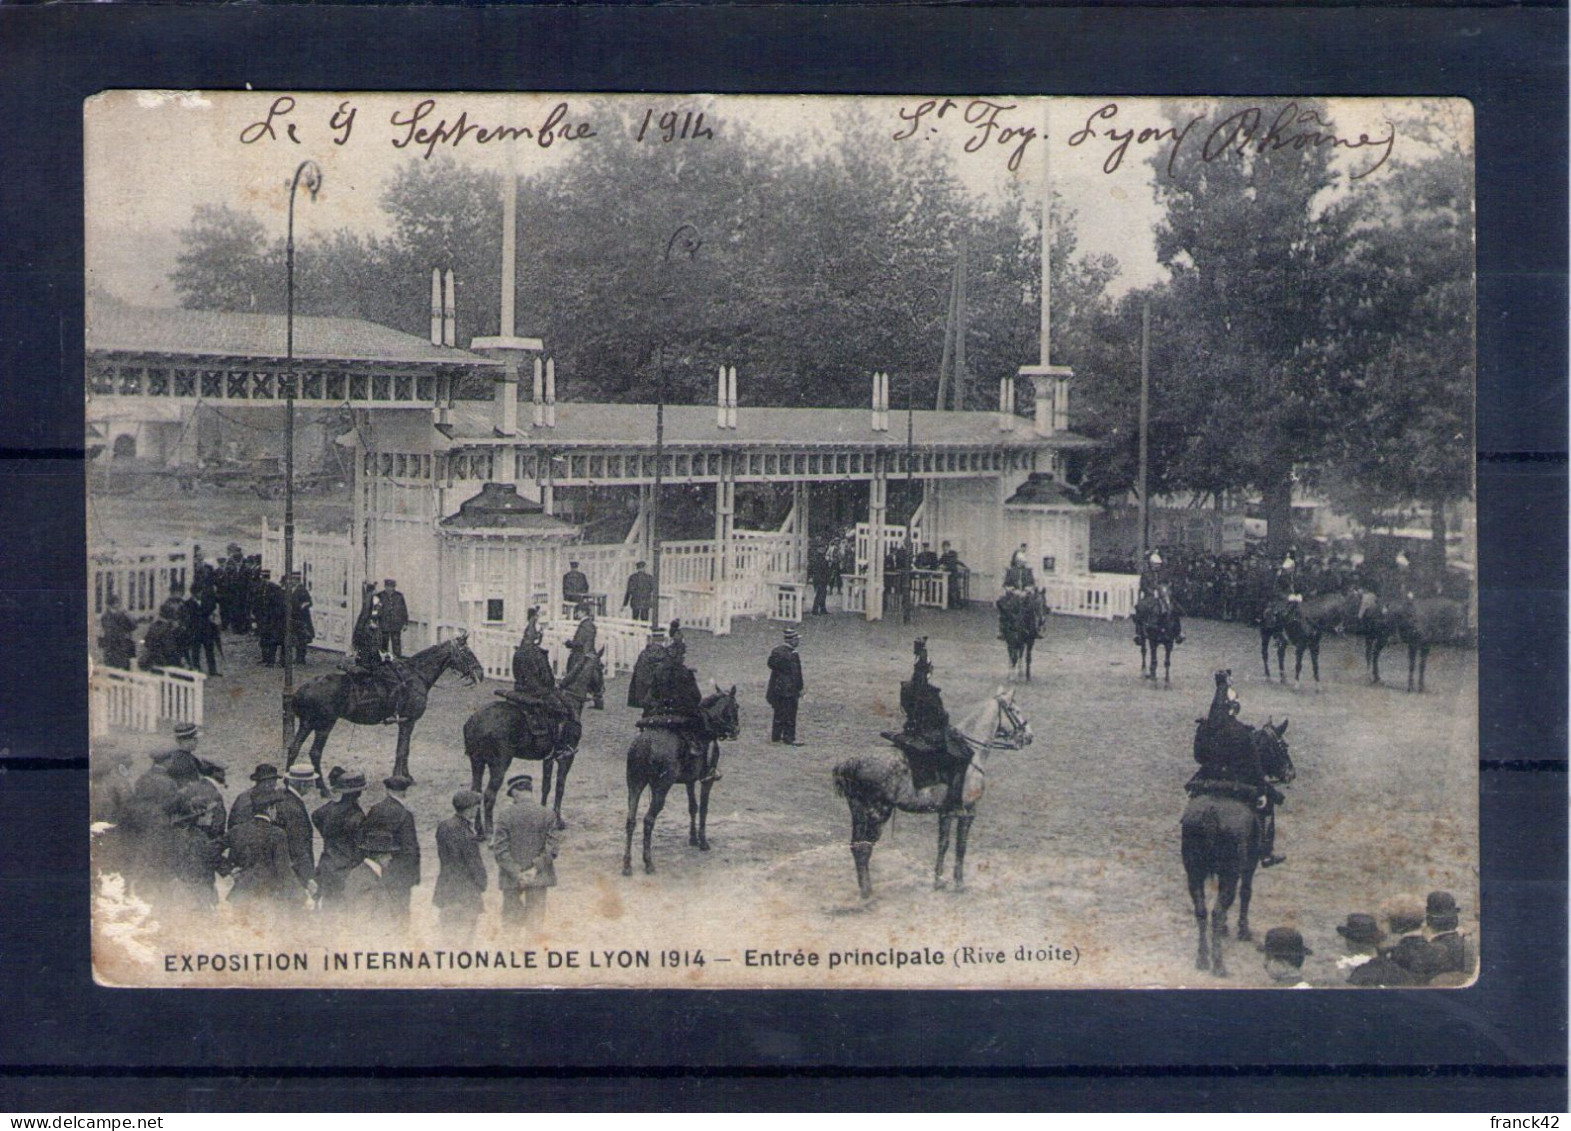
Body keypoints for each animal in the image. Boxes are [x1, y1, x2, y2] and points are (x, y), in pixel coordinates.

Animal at [282, 631, 477, 791]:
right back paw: (322, 788)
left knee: (294, 748)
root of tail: (302, 689)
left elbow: (404, 749)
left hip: (308, 723)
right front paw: (401, 777)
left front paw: (404, 776)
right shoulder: (408, 721)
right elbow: (402, 750)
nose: (480, 673)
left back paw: (287, 782)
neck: (415, 676)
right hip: (324, 725)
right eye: (466, 652)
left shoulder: (406, 722)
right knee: (315, 752)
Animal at [461, 644, 603, 841]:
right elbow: (560, 787)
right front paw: (558, 821)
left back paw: (480, 831)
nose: (601, 692)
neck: (570, 702)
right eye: (601, 667)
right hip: (499, 764)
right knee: (489, 795)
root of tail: (475, 720)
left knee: (477, 793)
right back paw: (490, 832)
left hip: (477, 762)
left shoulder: (549, 758)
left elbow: (546, 786)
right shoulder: (566, 756)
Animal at [618, 684, 741, 879]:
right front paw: (703, 842)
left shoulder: (689, 781)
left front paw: (693, 838)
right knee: (648, 820)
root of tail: (646, 744)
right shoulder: (707, 780)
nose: (736, 731)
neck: (706, 726)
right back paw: (648, 863)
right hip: (661, 788)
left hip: (634, 784)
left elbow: (693, 807)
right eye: (736, 706)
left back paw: (627, 865)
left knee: (630, 821)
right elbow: (703, 809)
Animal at [829, 688, 1036, 898]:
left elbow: (943, 845)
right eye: (1015, 710)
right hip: (878, 814)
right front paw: (959, 883)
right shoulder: (968, 812)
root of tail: (852, 763)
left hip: (858, 812)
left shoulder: (945, 813)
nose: (1029, 736)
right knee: (865, 847)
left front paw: (939, 881)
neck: (972, 755)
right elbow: (961, 846)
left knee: (856, 846)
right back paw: (868, 894)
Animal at [1181, 719, 1294, 973]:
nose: (1291, 773)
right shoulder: (1249, 865)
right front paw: (1243, 930)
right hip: (1230, 872)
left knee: (1202, 911)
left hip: (1194, 873)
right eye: (1282, 746)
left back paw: (1202, 958)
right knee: (1216, 911)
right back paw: (1218, 964)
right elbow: (1246, 893)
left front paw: (1226, 929)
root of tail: (1211, 813)